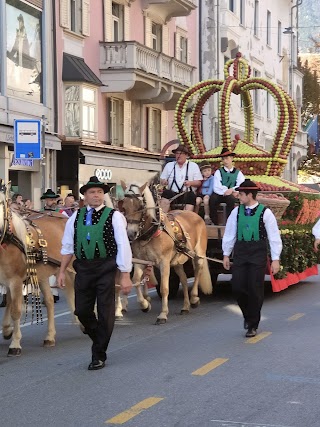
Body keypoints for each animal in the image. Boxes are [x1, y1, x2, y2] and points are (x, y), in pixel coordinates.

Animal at [0, 191, 74, 358]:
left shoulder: (15, 280)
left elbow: (16, 310)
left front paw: (15, 344)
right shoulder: (6, 280)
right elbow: (9, 302)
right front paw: (7, 329)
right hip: (43, 274)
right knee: (49, 301)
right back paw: (50, 336)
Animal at [120, 183, 212, 324]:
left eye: (140, 207)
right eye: (124, 207)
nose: (130, 234)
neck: (151, 232)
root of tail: (196, 215)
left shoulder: (164, 262)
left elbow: (164, 288)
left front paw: (163, 314)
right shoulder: (140, 261)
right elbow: (136, 281)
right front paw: (145, 305)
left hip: (199, 254)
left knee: (198, 271)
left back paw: (194, 298)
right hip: (177, 261)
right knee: (184, 279)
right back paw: (185, 306)